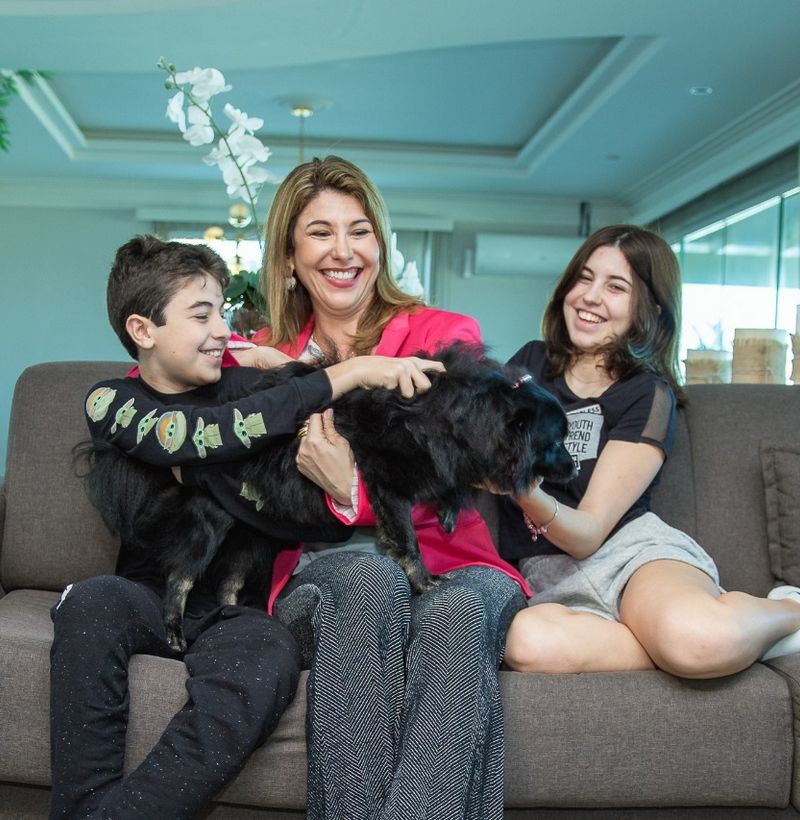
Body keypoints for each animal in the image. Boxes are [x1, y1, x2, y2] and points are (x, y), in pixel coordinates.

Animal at [81, 342, 576, 652]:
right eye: (557, 441)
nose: (573, 469)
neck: (459, 417)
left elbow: (451, 487)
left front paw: (450, 511)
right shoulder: (386, 486)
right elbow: (408, 543)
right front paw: (424, 581)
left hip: (252, 536)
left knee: (227, 584)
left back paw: (240, 616)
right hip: (211, 526)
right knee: (180, 579)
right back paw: (174, 631)